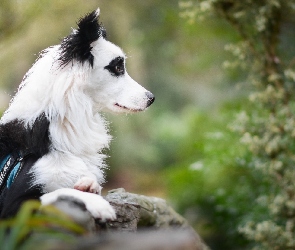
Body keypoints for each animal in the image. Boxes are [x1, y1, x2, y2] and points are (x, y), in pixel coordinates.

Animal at [0, 7, 156, 219]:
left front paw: (89, 187)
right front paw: (98, 204)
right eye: (117, 67)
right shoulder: (12, 206)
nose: (151, 98)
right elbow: (58, 191)